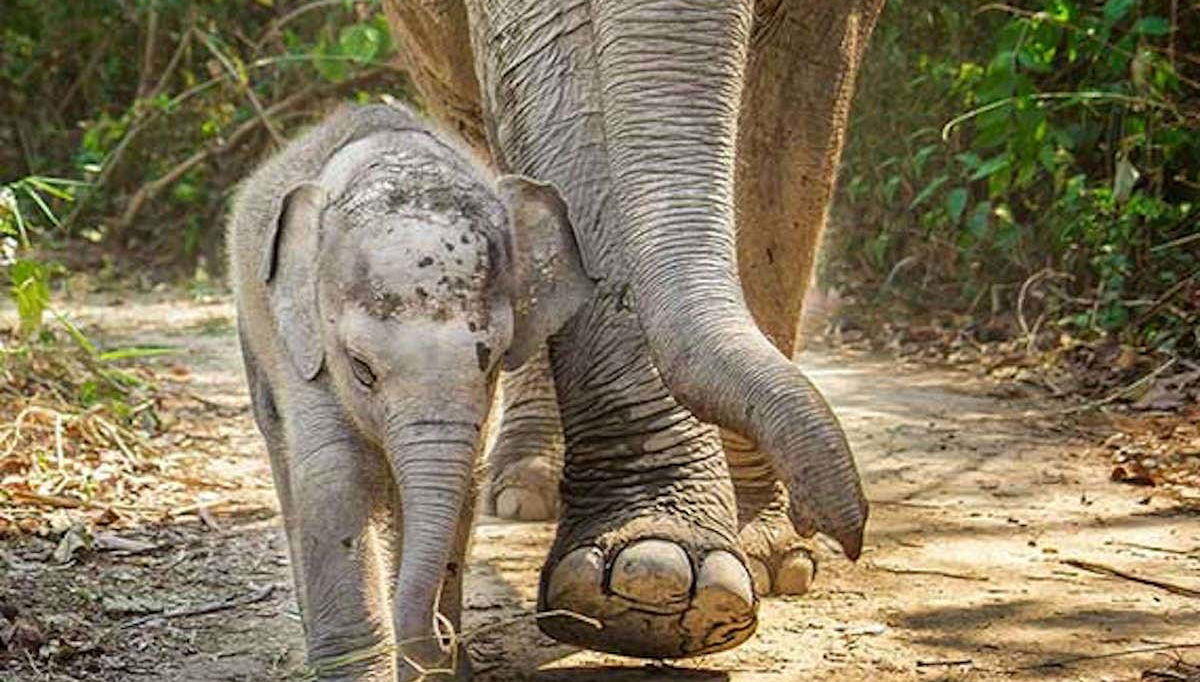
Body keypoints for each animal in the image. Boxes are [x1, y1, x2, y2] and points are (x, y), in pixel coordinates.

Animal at [228, 104, 593, 680]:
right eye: (361, 369)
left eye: (492, 362)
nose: (444, 635)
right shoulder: (303, 350)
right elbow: (335, 474)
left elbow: (463, 482)